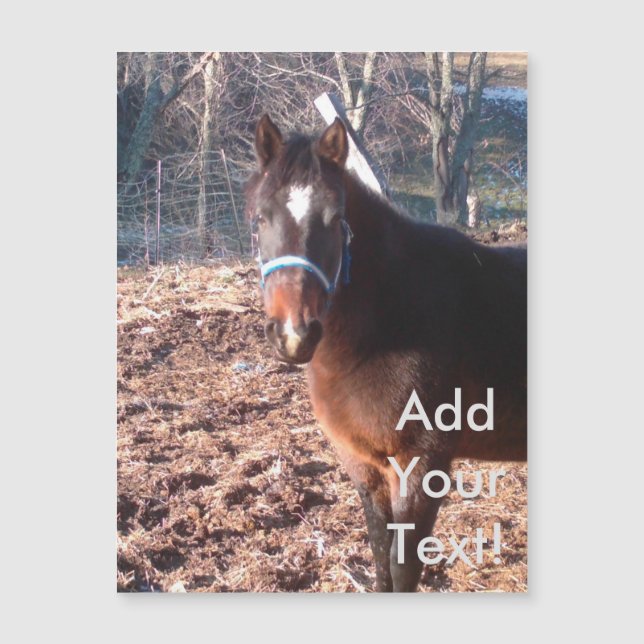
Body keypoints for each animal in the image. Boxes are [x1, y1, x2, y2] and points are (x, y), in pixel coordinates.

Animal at [244, 114, 527, 592]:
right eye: (261, 217)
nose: (294, 334)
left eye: (336, 218)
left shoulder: (422, 464)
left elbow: (403, 565)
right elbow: (380, 557)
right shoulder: (364, 464)